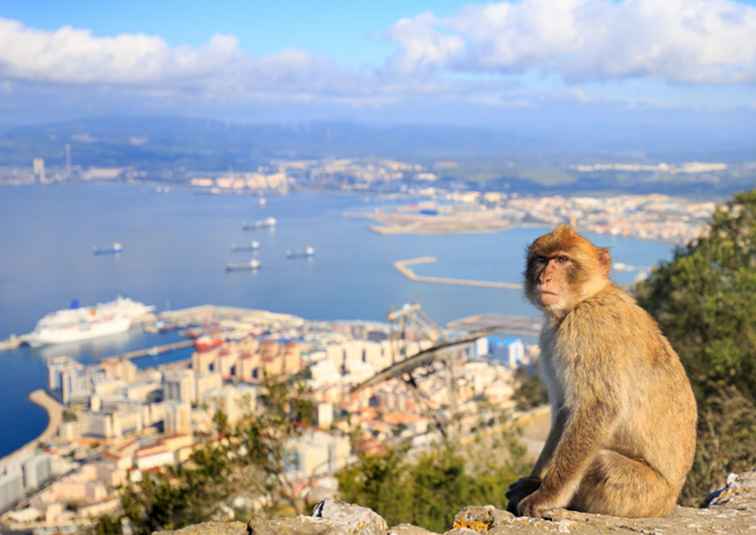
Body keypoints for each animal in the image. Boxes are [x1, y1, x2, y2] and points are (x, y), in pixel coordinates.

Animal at [508, 225, 696, 520]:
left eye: (562, 260)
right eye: (541, 259)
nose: (544, 277)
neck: (584, 299)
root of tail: (670, 501)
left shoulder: (589, 328)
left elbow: (598, 406)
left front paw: (546, 495)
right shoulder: (550, 340)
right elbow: (565, 411)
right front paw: (534, 481)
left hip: (643, 494)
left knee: (602, 463)